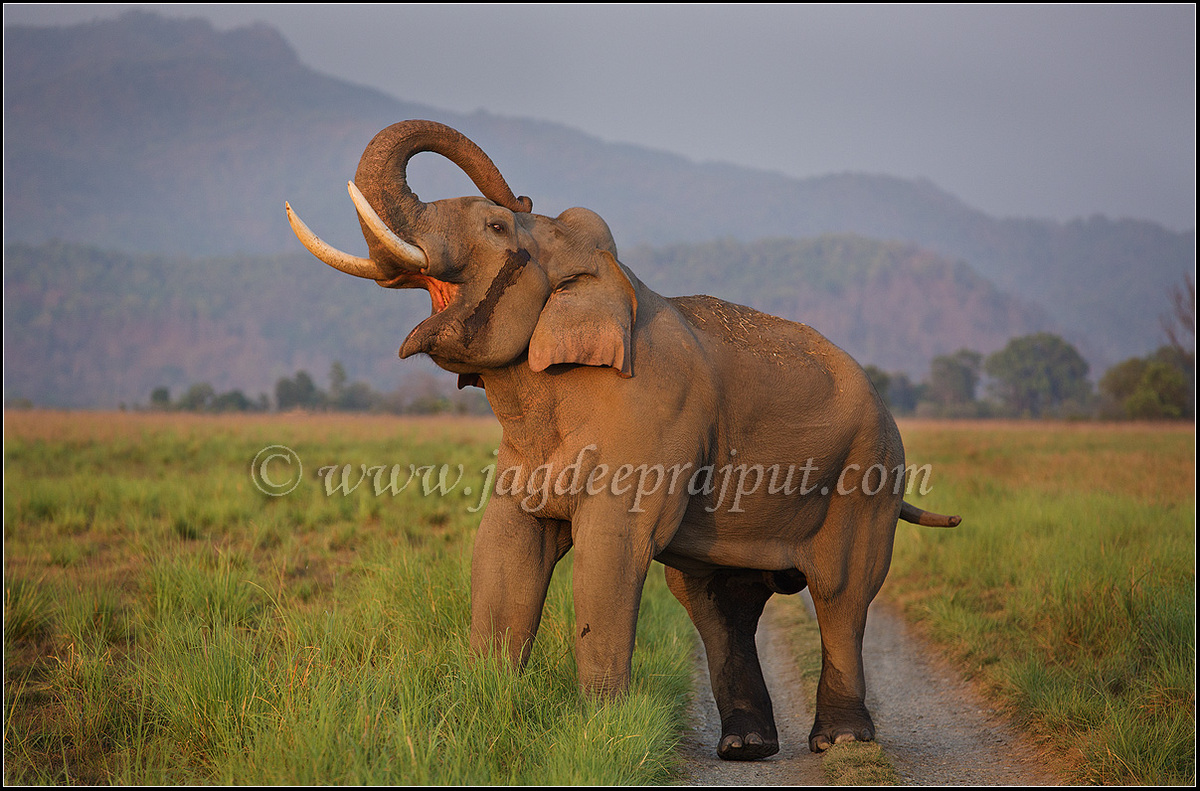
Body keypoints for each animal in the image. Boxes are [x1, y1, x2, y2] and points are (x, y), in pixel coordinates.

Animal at [285, 119, 960, 759]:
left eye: (497, 224)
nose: (521, 194)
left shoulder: (651, 418)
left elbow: (610, 553)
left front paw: (598, 728)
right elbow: (503, 550)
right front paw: (482, 708)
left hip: (868, 469)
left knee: (841, 589)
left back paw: (840, 742)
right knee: (715, 599)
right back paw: (746, 748)